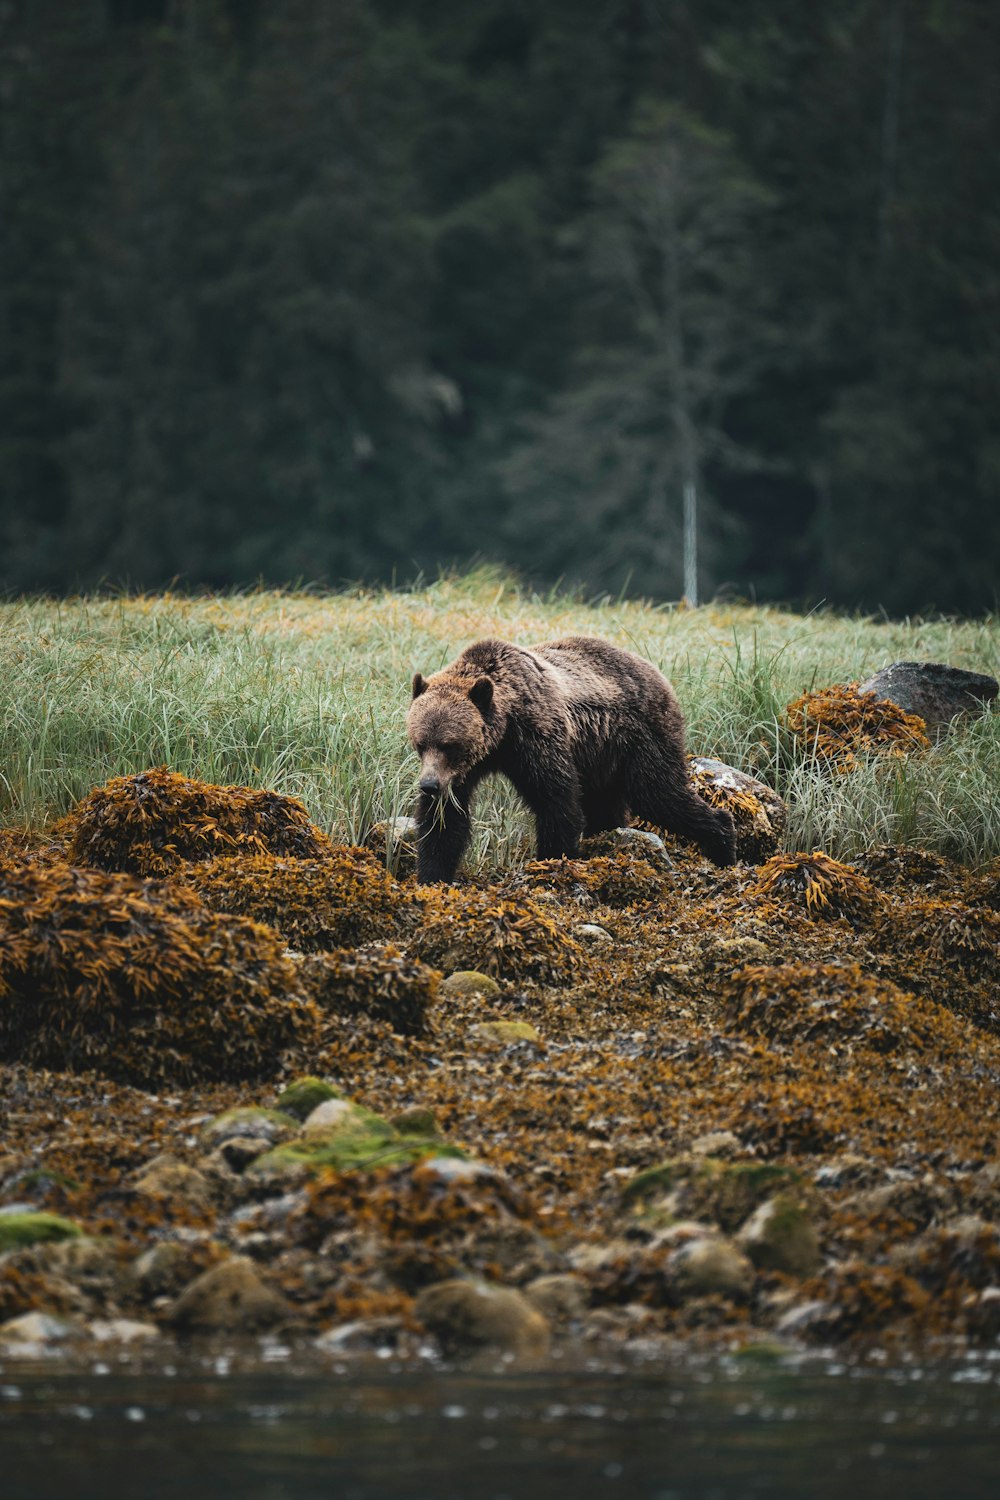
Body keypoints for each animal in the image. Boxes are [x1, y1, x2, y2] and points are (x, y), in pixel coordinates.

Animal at [404, 639, 734, 882]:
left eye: (450, 745)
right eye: (421, 744)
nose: (429, 785)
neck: (503, 733)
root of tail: (657, 673)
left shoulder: (536, 736)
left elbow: (556, 801)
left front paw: (551, 861)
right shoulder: (466, 769)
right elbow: (444, 820)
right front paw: (432, 875)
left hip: (642, 736)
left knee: (658, 793)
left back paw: (723, 842)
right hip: (602, 757)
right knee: (607, 806)